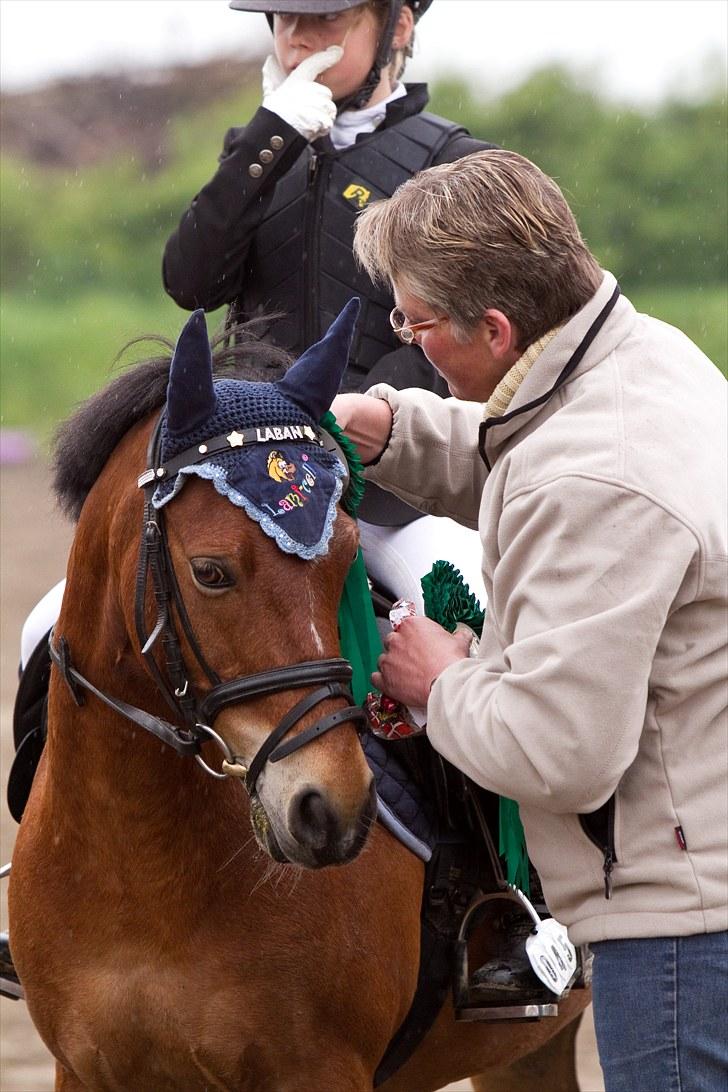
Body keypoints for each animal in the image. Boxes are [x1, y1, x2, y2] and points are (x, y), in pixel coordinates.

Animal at [9, 303, 591, 1091]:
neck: (142, 860)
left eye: (344, 558)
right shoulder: (85, 1069)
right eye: (210, 571)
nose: (332, 810)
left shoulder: (317, 1069)